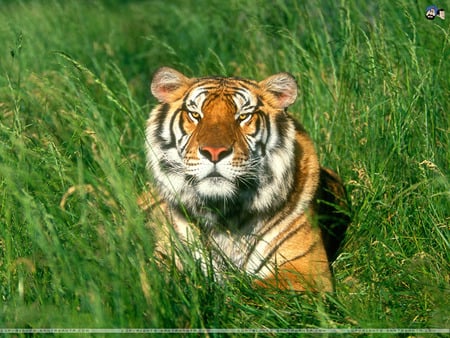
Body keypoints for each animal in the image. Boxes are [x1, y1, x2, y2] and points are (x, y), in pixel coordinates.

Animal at [144, 67, 348, 292]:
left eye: (243, 116)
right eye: (195, 115)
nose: (214, 152)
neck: (223, 213)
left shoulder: (305, 271)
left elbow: (249, 292)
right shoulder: (165, 258)